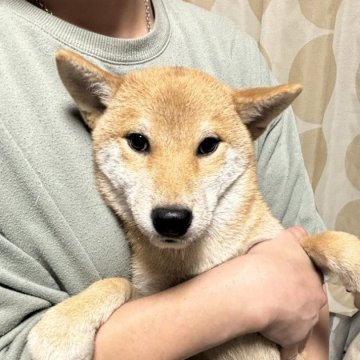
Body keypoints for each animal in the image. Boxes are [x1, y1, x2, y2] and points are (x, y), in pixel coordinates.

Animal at [28, 48, 360, 360]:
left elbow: (320, 240)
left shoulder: (282, 245)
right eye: (137, 141)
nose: (171, 218)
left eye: (208, 145)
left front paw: (353, 260)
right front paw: (62, 326)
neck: (201, 260)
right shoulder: (148, 298)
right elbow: (115, 282)